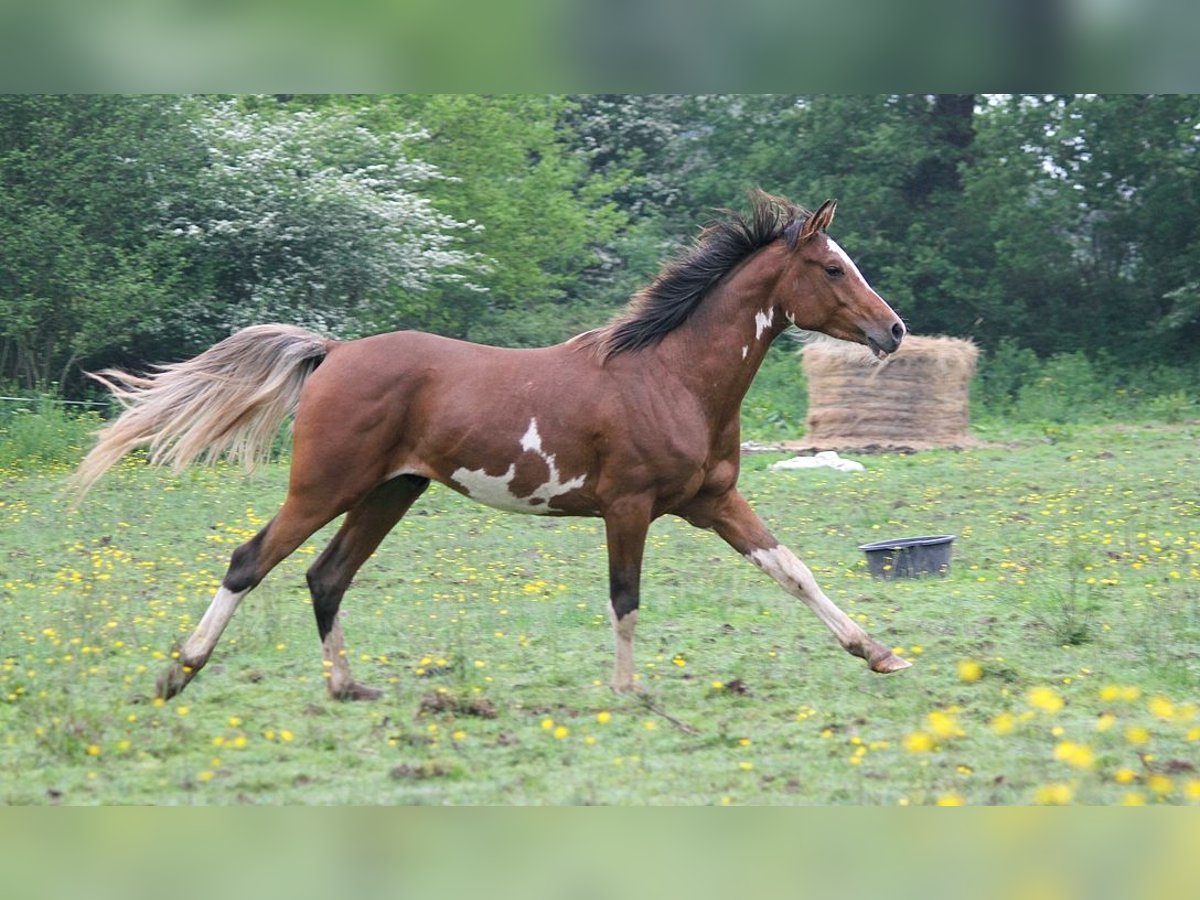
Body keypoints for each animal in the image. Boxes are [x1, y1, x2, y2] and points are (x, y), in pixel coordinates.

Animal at [75, 194, 907, 705]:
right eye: (832, 267)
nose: (893, 331)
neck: (668, 375)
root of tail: (334, 352)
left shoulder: (713, 501)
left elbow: (793, 570)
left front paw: (879, 653)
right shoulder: (629, 508)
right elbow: (626, 597)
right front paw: (628, 689)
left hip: (390, 491)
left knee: (326, 576)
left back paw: (348, 688)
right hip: (324, 487)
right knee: (251, 561)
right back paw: (179, 673)